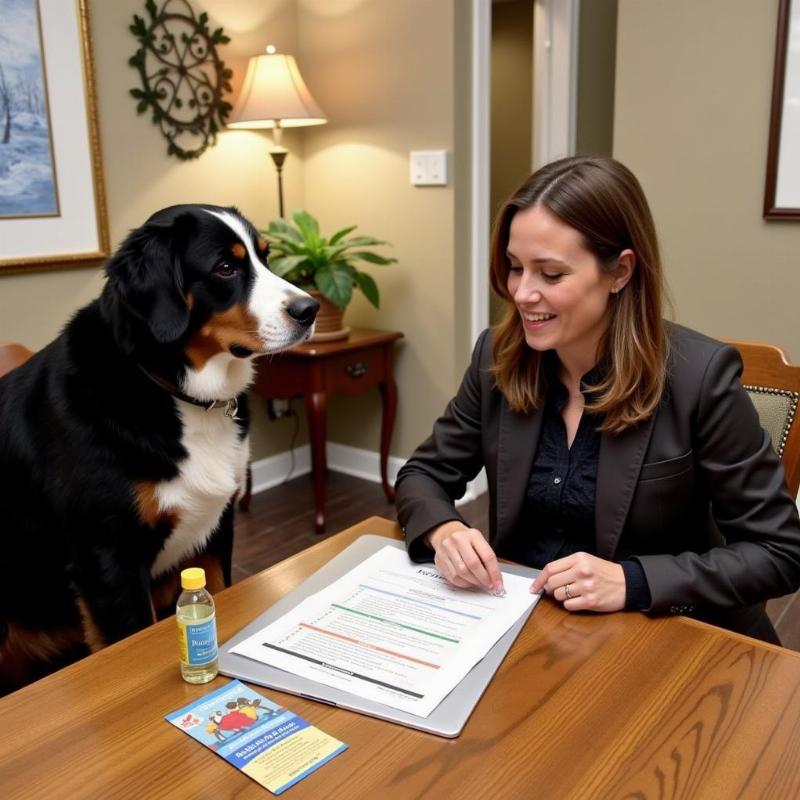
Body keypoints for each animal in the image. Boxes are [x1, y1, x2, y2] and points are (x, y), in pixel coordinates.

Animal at [0, 202, 318, 692]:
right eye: (225, 268)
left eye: (265, 256)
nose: (310, 308)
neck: (176, 392)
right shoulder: (109, 564)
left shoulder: (216, 532)